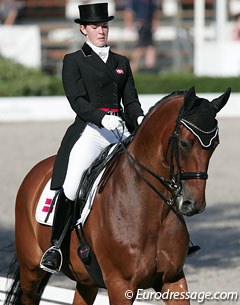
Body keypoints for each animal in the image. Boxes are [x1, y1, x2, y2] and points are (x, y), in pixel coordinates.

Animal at [4, 86, 231, 302]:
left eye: (215, 145)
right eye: (184, 143)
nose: (194, 204)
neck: (150, 212)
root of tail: (37, 171)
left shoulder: (173, 280)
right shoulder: (120, 285)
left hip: (86, 279)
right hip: (31, 271)